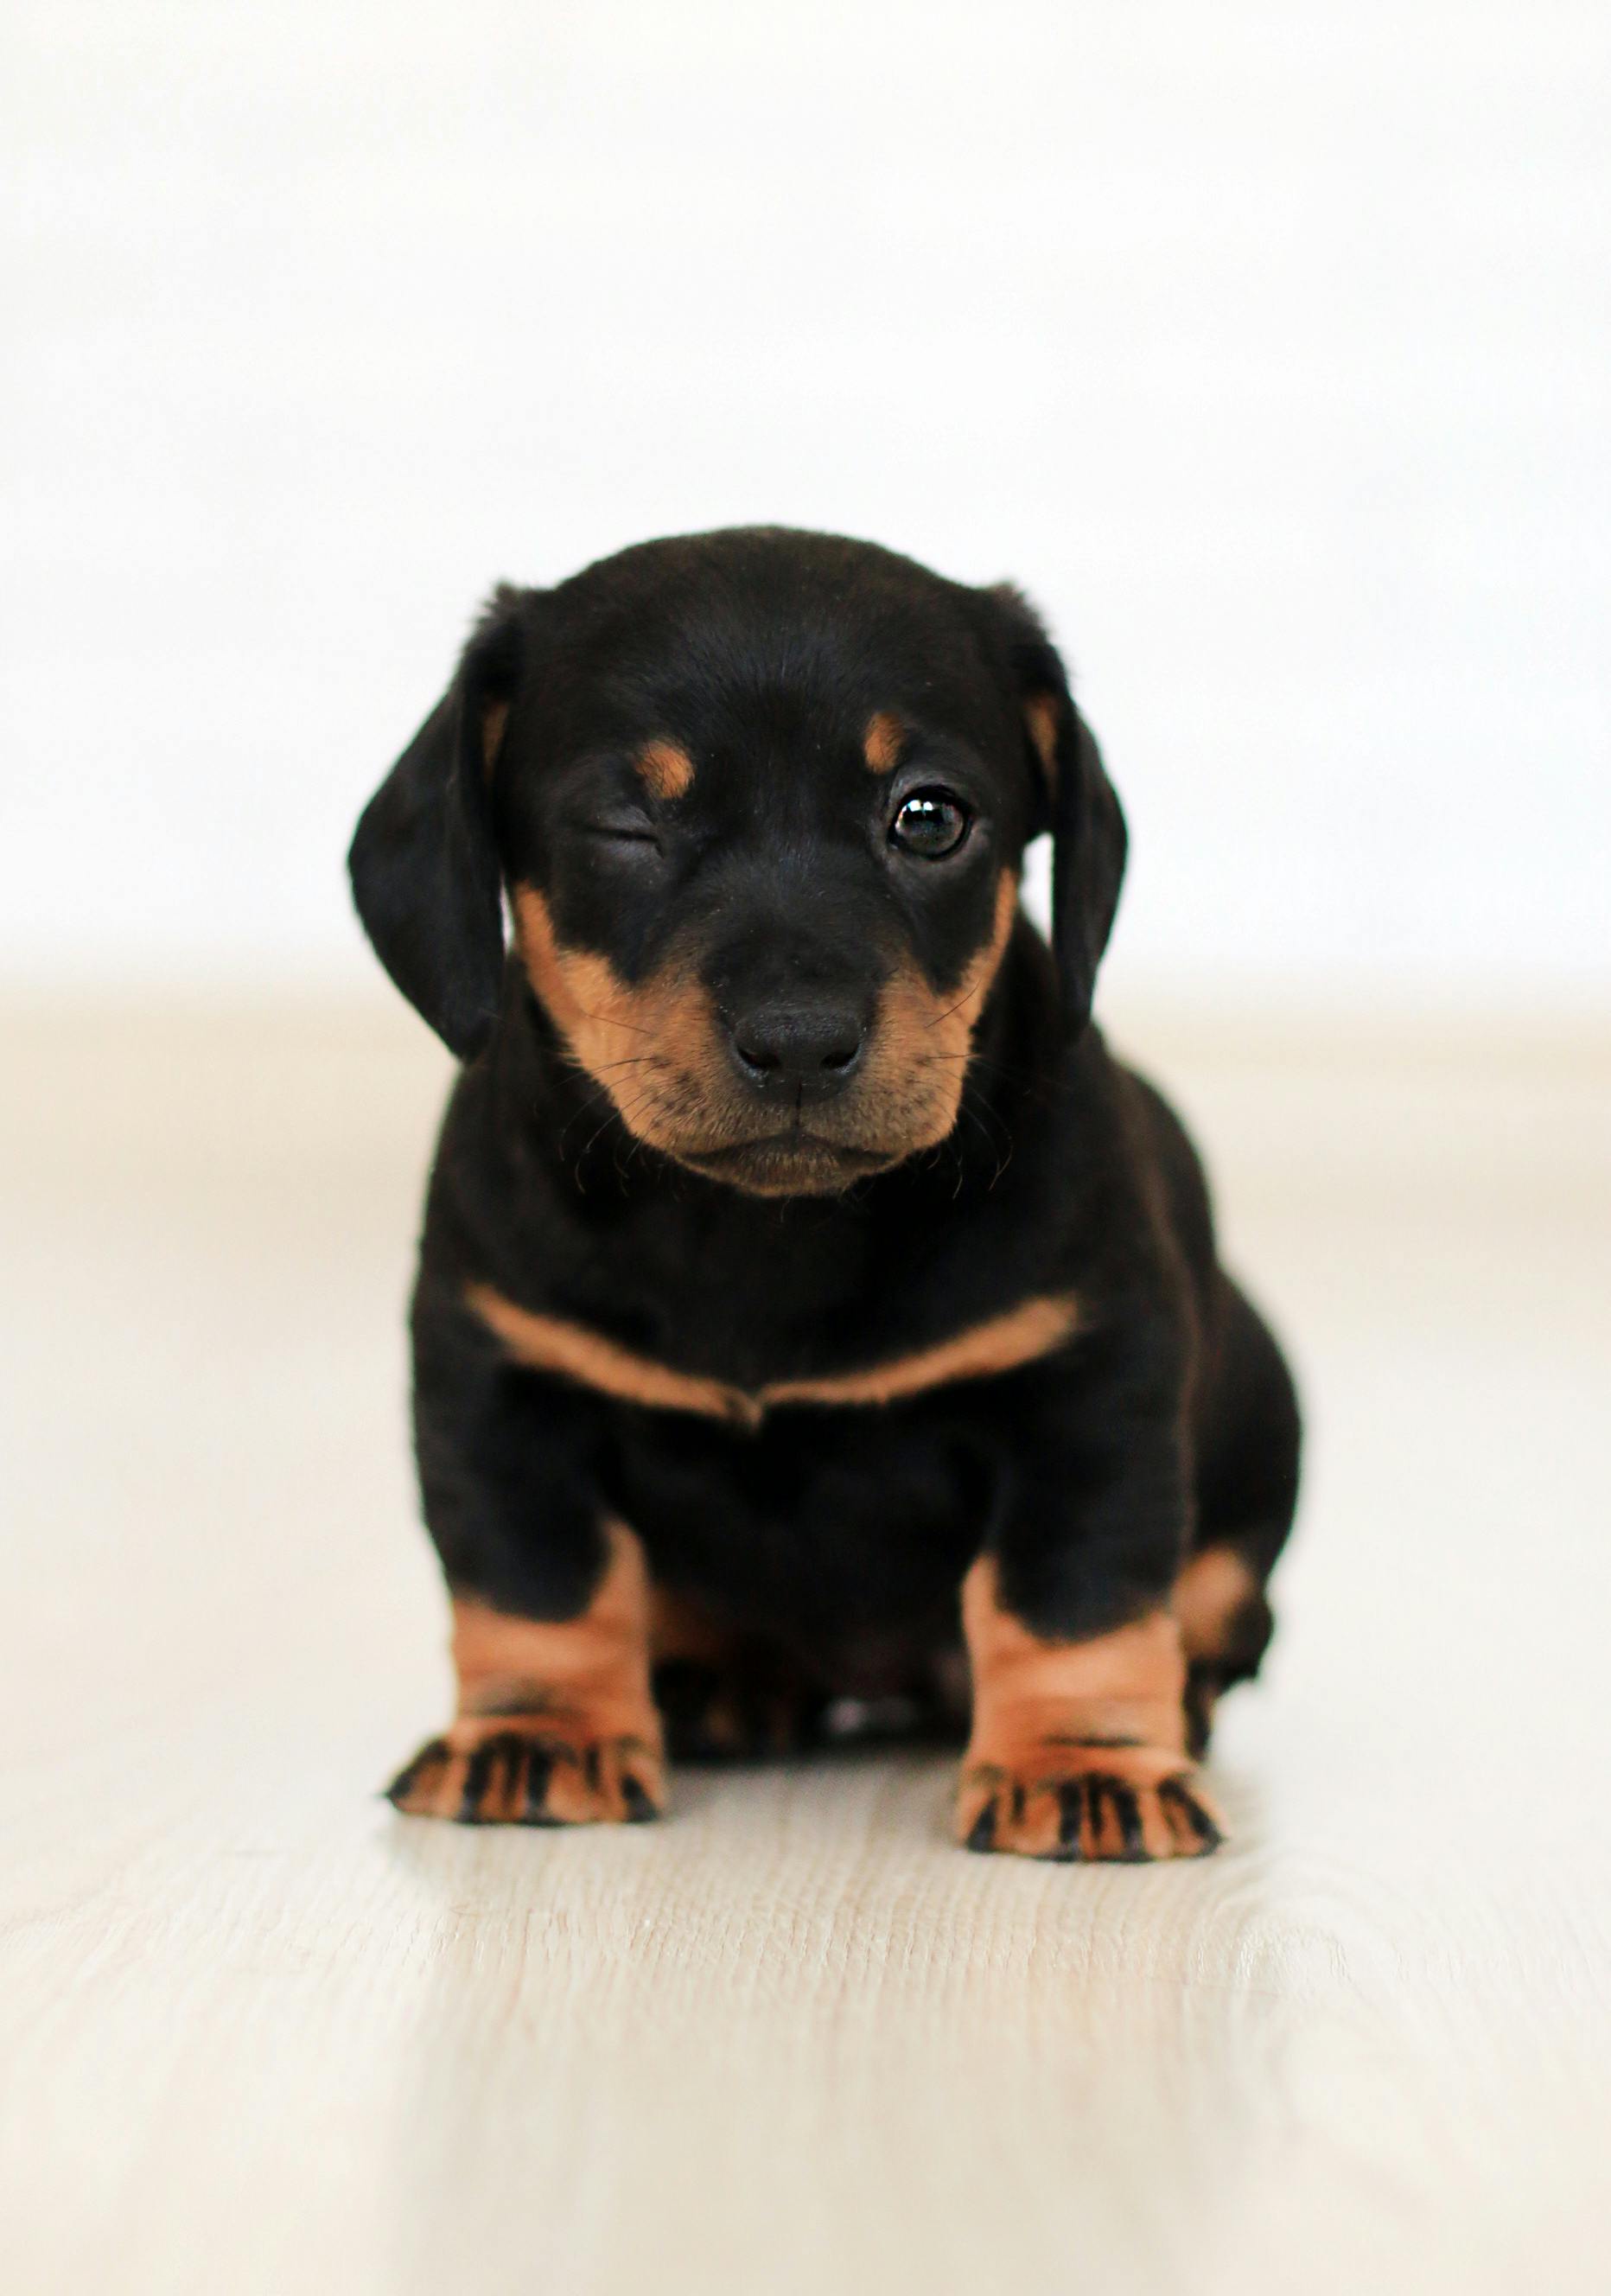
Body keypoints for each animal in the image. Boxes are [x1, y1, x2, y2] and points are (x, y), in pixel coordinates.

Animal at [351, 527, 1303, 1855]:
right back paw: (716, 1684)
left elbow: (1073, 1594)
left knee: (1222, 1612)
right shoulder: (497, 1382)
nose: (799, 1041)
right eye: (626, 824)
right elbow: (538, 1582)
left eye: (929, 817)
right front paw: (538, 1737)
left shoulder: (1089, 1383)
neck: (764, 1235)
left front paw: (1081, 1764)